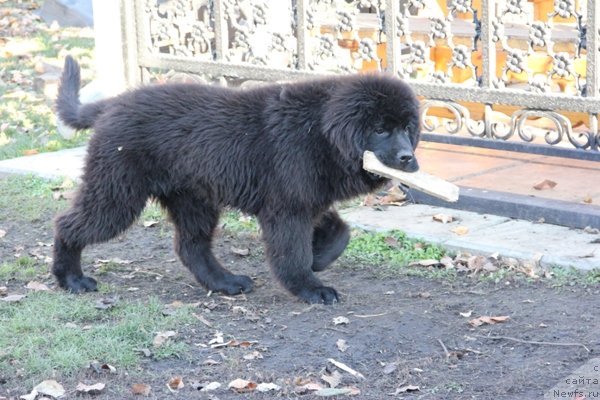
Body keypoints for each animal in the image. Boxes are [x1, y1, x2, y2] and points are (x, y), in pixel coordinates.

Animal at [52, 54, 422, 304]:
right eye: (380, 129)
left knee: (191, 246)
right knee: (69, 225)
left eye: (407, 128)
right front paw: (310, 287)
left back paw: (225, 283)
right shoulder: (287, 209)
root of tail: (112, 104)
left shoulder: (305, 199)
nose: (407, 158)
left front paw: (319, 258)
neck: (318, 131)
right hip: (117, 192)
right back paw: (71, 279)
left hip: (193, 199)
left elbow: (340, 231)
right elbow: (292, 252)